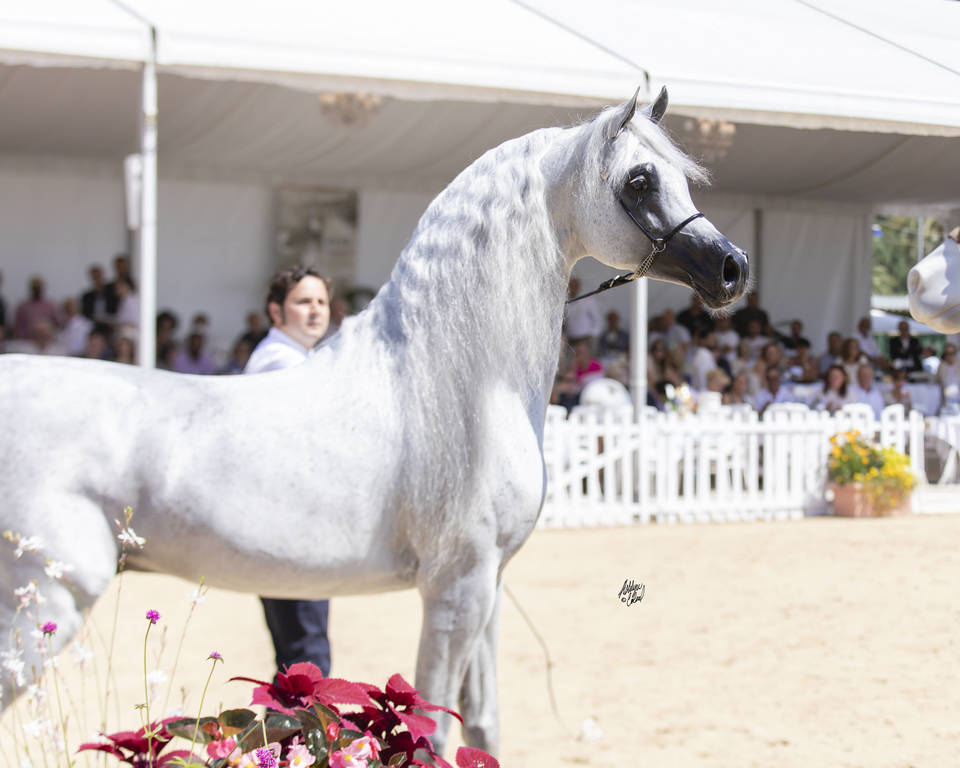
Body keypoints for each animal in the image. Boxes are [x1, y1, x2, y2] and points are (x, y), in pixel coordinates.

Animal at [0, 87, 747, 755]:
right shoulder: (456, 588)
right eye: (640, 181)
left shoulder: (490, 586)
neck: (458, 380)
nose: (732, 269)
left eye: (680, 177)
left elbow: (482, 723)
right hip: (47, 604)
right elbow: (435, 730)